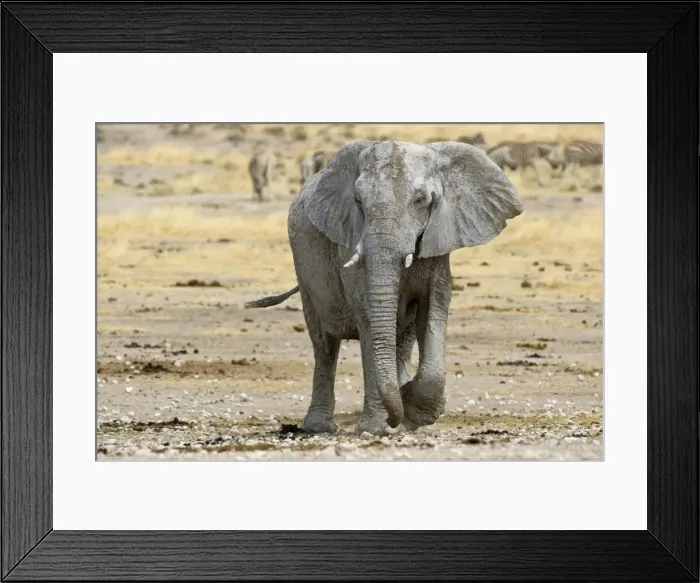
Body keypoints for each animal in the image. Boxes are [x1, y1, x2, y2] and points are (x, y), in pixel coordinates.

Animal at [246, 140, 523, 435]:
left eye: (421, 200)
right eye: (359, 202)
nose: (394, 421)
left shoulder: (438, 247)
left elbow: (433, 310)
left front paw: (411, 411)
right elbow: (369, 319)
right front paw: (376, 427)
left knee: (402, 339)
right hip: (303, 267)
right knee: (324, 345)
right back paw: (319, 427)